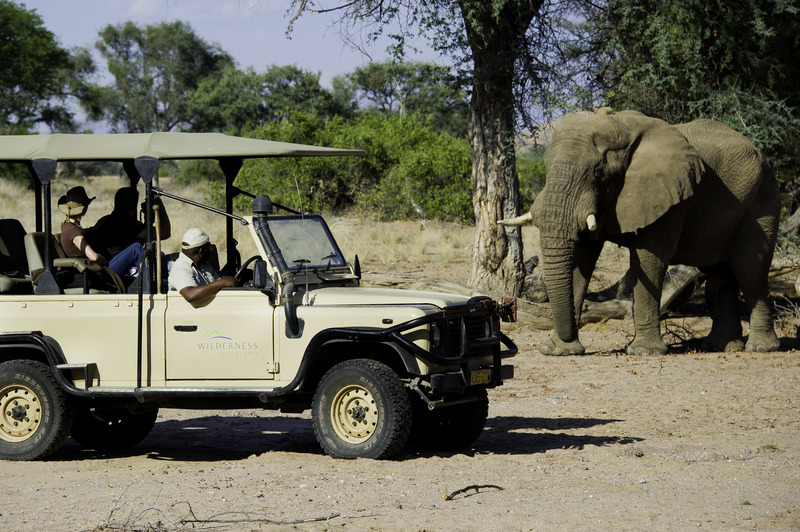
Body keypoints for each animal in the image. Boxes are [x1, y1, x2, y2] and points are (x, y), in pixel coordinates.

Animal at [502, 109, 780, 356]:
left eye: (598, 171)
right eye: (546, 166)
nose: (568, 339)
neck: (621, 126)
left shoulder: (670, 196)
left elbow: (649, 260)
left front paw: (643, 351)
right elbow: (581, 259)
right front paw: (559, 351)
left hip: (762, 198)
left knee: (749, 269)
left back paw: (760, 348)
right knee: (720, 274)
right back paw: (721, 346)